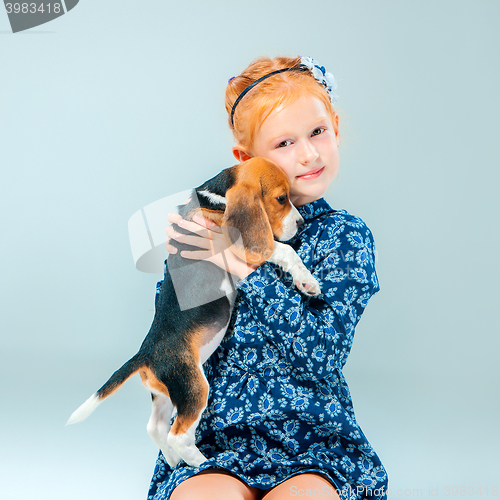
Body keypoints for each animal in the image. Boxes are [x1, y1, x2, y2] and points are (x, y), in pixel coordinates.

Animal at [66, 157, 320, 468]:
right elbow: (285, 251)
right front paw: (307, 281)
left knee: (155, 427)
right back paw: (204, 462)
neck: (217, 199)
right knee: (178, 435)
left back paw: (174, 461)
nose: (302, 223)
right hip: (194, 387)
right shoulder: (245, 246)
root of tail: (146, 352)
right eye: (282, 199)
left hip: (168, 392)